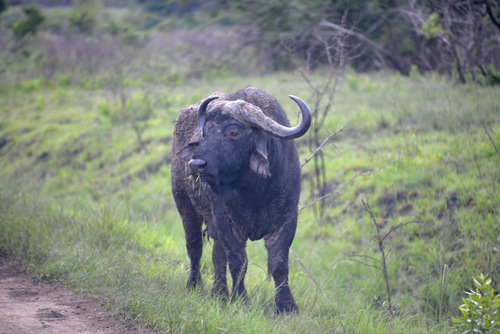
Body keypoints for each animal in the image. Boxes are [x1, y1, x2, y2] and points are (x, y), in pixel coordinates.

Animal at [173, 85, 312, 314]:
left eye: (234, 132)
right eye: (205, 131)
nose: (195, 164)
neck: (256, 192)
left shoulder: (287, 219)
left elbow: (279, 263)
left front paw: (287, 307)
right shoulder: (226, 220)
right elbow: (238, 262)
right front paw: (240, 300)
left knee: (217, 255)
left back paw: (219, 293)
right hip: (185, 206)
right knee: (194, 247)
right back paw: (194, 285)